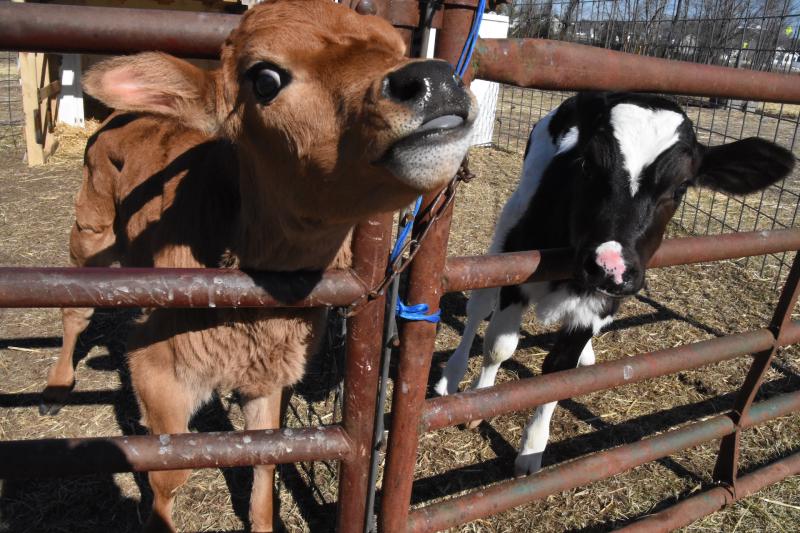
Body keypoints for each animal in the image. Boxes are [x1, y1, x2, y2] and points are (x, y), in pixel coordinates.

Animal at [43, 0, 476, 530]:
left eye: (397, 48)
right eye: (264, 78)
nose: (434, 78)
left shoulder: (270, 375)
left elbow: (266, 459)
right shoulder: (157, 370)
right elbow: (168, 474)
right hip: (91, 231)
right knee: (74, 308)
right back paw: (57, 385)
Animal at [434, 91, 794, 476]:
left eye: (681, 187)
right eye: (587, 165)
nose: (610, 267)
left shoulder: (605, 301)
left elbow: (557, 372)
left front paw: (532, 448)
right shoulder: (518, 273)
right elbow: (498, 347)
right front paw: (481, 400)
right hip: (508, 229)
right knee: (478, 307)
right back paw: (451, 376)